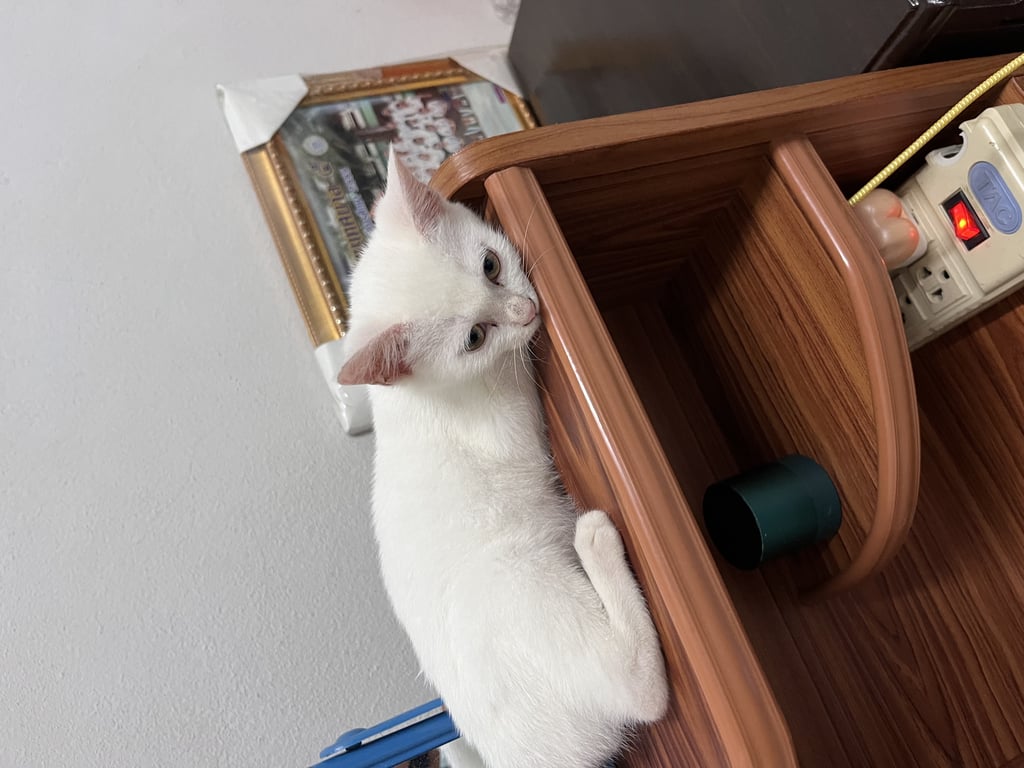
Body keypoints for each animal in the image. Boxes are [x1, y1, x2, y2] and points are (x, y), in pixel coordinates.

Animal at [338, 148, 669, 768]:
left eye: (491, 265)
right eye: (474, 337)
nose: (526, 309)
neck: (417, 398)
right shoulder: (502, 424)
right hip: (525, 583)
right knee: (641, 692)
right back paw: (594, 539)